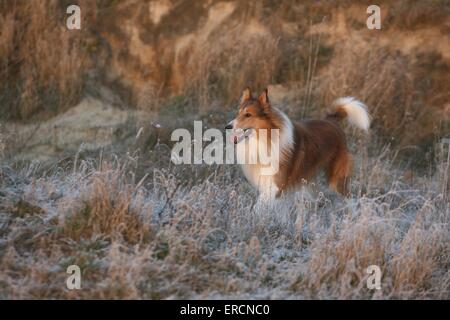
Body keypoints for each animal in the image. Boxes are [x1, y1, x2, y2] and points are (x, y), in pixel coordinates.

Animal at [225, 87, 370, 200]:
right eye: (238, 113)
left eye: (248, 115)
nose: (227, 126)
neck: (266, 138)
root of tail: (332, 121)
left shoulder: (274, 186)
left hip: (336, 179)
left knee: (348, 196)